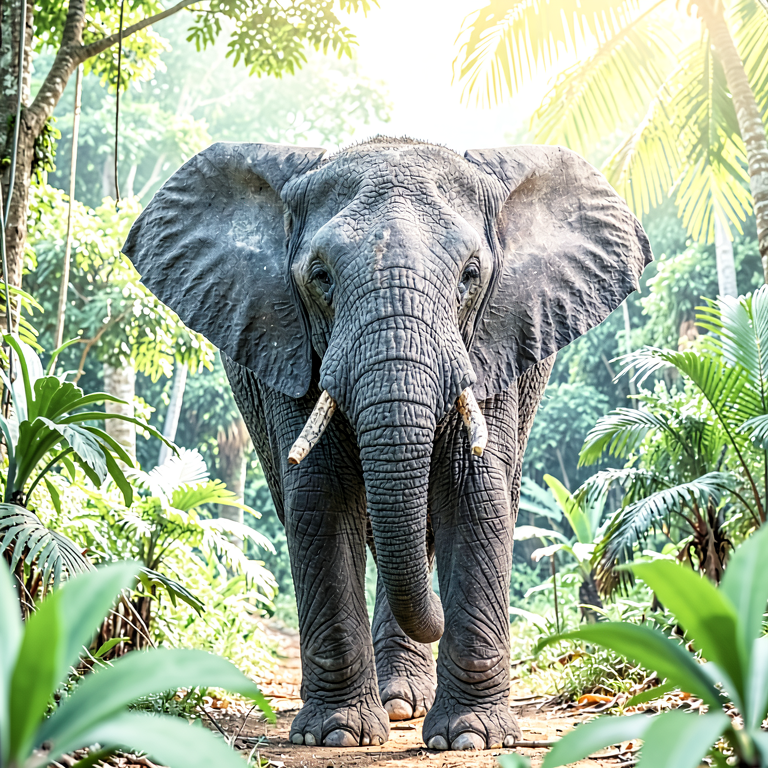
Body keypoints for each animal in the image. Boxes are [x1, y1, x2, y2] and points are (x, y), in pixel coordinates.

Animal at [123, 137, 652, 751]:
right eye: (320, 276)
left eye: (471, 275)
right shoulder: (289, 344)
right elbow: (322, 498)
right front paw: (337, 736)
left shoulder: (495, 347)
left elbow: (475, 496)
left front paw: (471, 739)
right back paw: (393, 704)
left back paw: (402, 703)